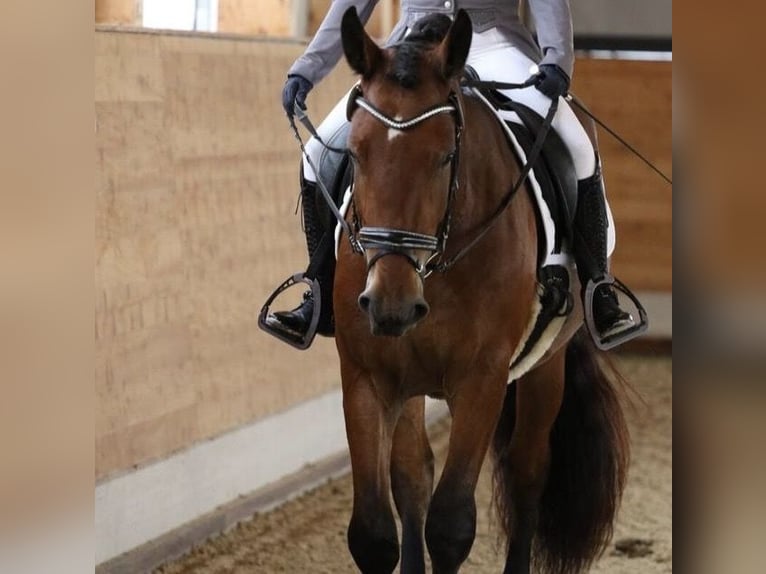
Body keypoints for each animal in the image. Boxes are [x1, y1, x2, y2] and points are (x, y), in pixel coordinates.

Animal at [330, 9, 629, 574]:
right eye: (354, 155)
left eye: (447, 156)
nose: (390, 305)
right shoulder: (368, 377)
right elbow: (374, 531)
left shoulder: (482, 378)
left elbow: (451, 526)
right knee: (414, 479)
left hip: (544, 365)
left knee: (529, 471)